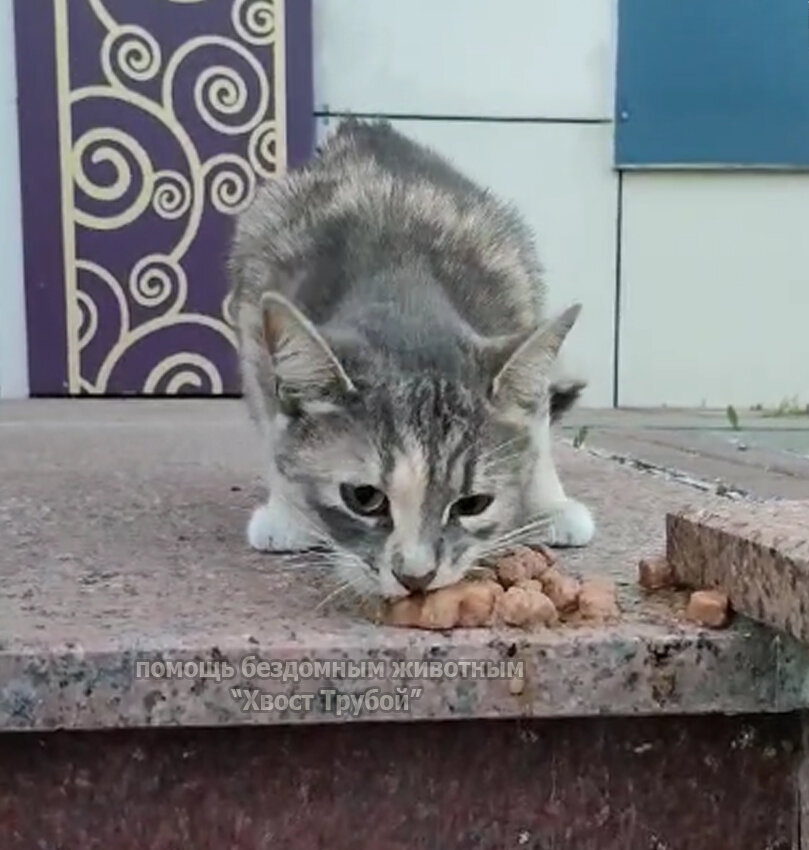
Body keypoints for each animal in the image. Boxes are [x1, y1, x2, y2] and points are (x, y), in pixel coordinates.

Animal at [227, 119, 592, 600]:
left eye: (472, 503)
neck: (403, 283)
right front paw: (289, 511)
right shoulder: (257, 322)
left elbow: (536, 422)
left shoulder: (515, 303)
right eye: (363, 498)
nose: (416, 577)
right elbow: (276, 428)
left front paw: (548, 503)